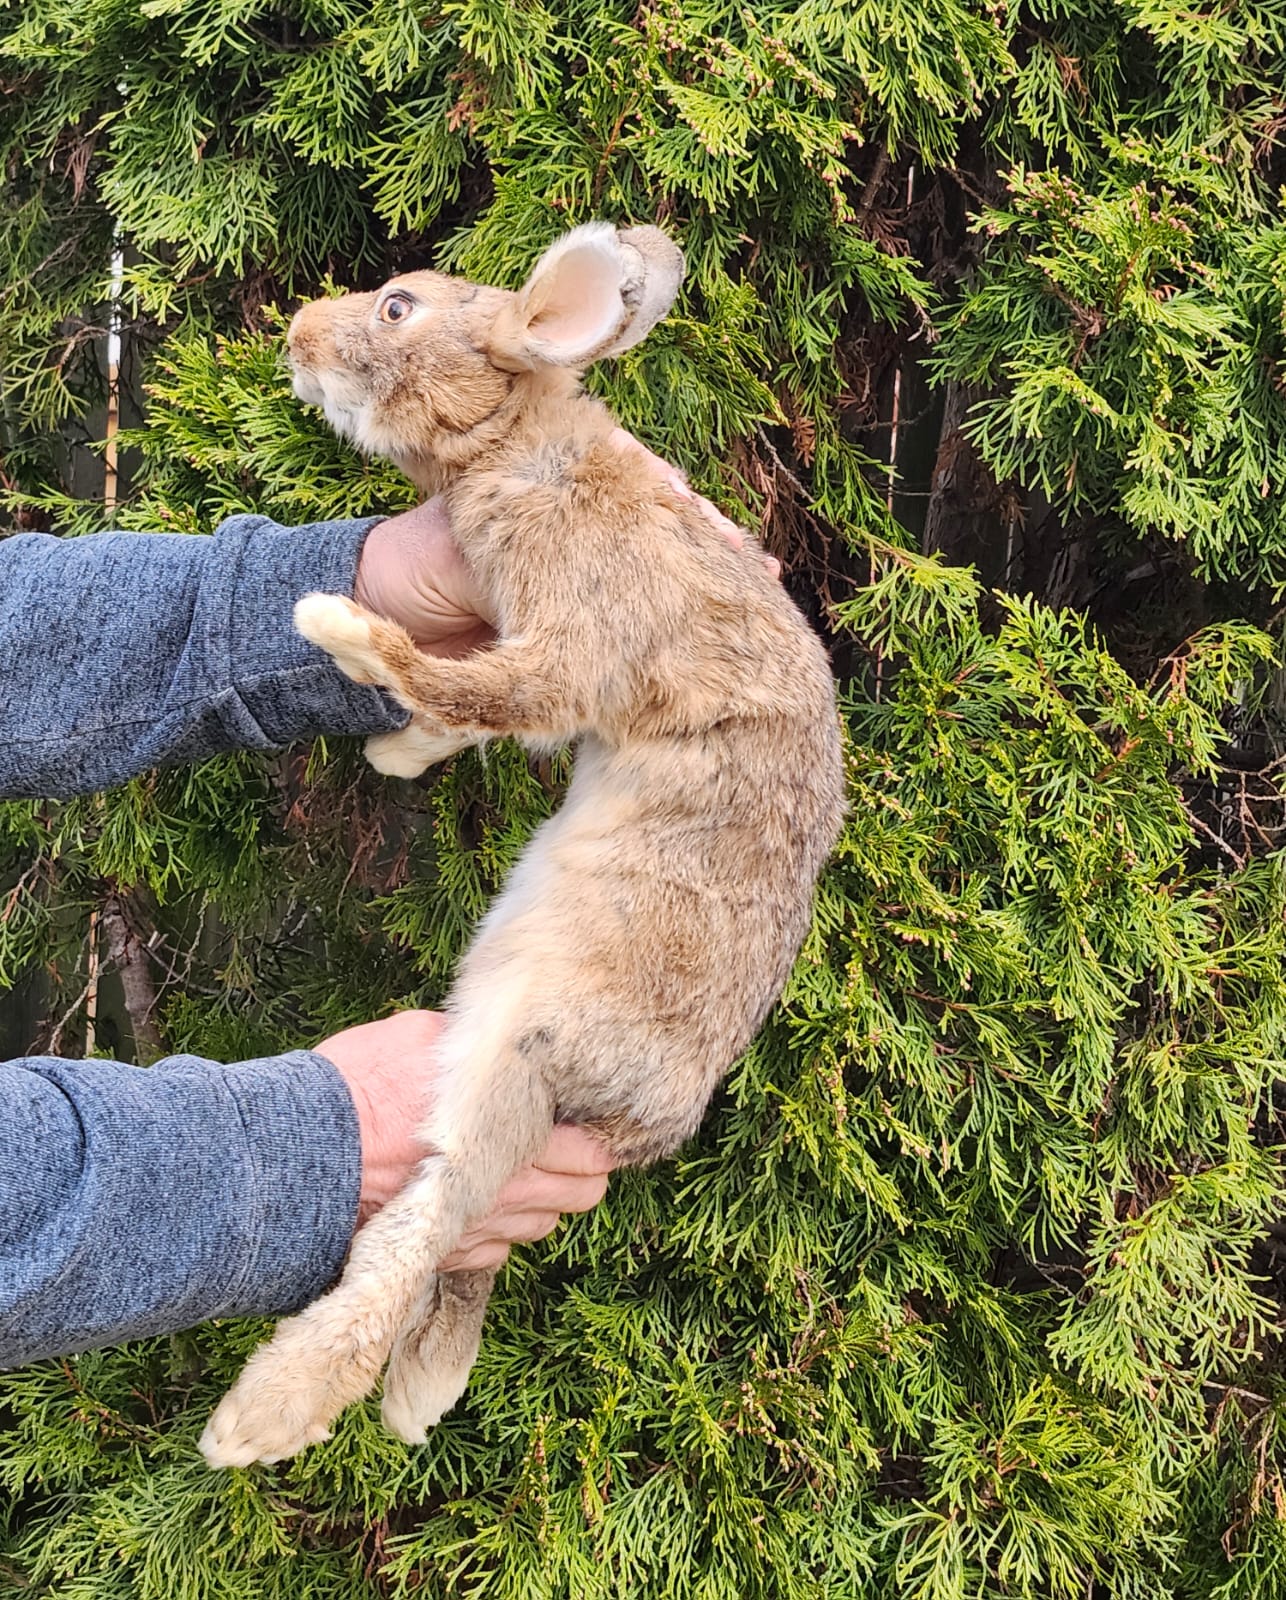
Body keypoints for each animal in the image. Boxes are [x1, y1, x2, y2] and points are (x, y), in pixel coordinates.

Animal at [199, 222, 845, 1469]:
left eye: (398, 308)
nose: (297, 333)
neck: (521, 445)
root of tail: (637, 1122)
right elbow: (469, 707)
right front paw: (399, 753)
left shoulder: (572, 639)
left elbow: (481, 687)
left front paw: (338, 630)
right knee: (464, 1238)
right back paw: (423, 1389)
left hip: (522, 1038)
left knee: (435, 1216)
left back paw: (269, 1415)